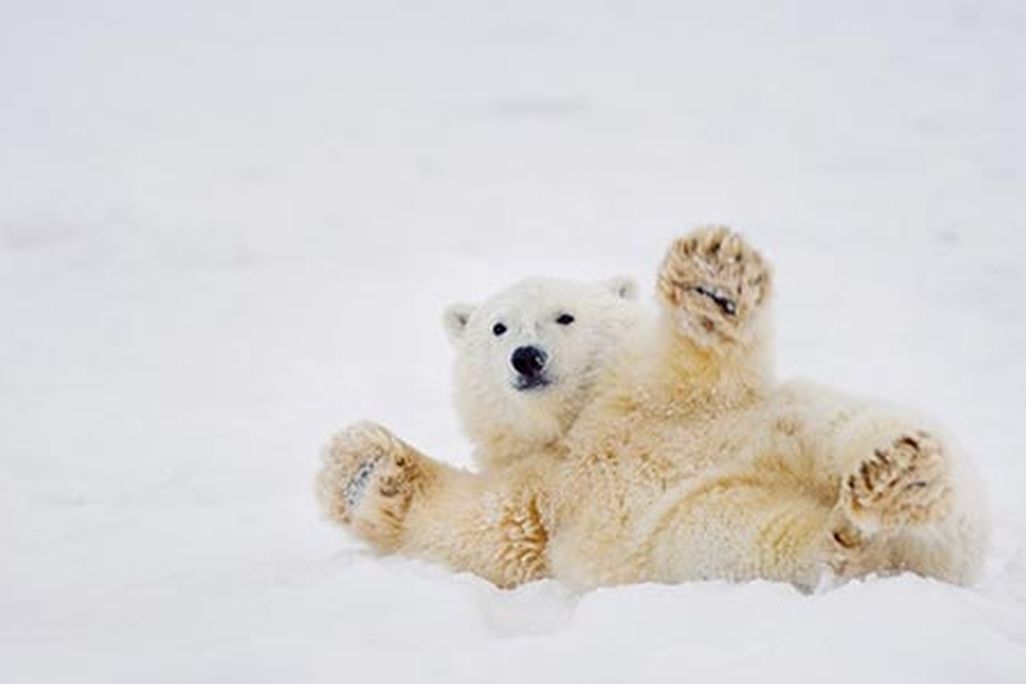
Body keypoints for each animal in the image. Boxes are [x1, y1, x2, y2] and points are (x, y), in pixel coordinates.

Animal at [316, 227, 988, 591]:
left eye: (565, 316)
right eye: (499, 327)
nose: (526, 358)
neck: (578, 426)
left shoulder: (656, 391)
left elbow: (700, 363)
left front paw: (712, 280)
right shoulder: (541, 492)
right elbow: (478, 527)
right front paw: (362, 472)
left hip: (812, 422)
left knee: (870, 435)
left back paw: (897, 476)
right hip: (707, 532)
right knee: (765, 535)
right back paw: (850, 535)